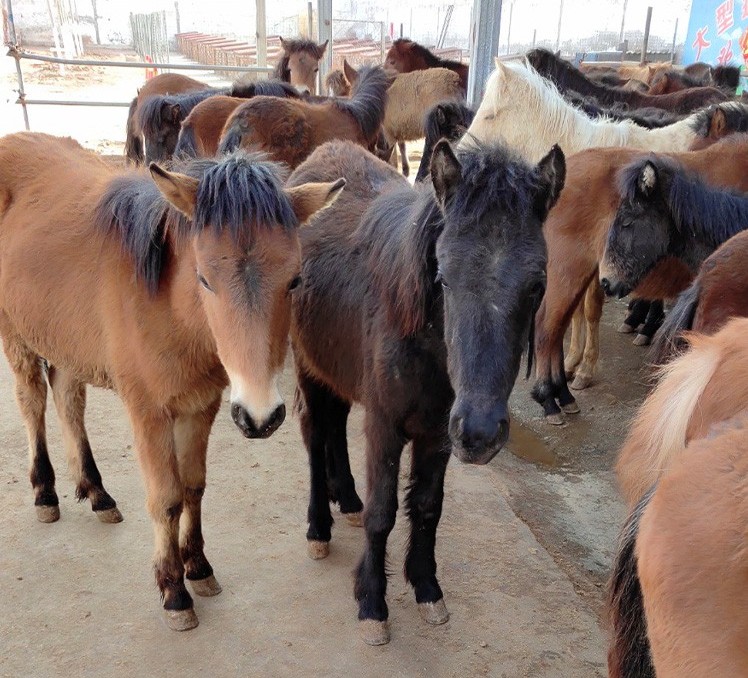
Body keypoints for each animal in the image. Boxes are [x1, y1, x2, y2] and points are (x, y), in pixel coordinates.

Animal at [0, 131, 344, 632]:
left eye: (295, 280)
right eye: (204, 279)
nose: (261, 416)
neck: (164, 304)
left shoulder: (203, 404)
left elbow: (193, 487)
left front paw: (197, 567)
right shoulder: (149, 412)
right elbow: (165, 498)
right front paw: (173, 590)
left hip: (65, 341)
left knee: (68, 399)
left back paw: (97, 492)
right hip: (17, 335)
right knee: (33, 401)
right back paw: (44, 492)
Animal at [286, 138, 560, 648]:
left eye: (537, 285)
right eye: (444, 277)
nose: (481, 432)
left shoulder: (437, 433)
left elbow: (428, 507)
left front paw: (427, 587)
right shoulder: (385, 426)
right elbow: (383, 513)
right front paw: (372, 603)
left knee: (334, 427)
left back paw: (345, 499)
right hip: (309, 369)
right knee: (315, 435)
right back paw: (319, 527)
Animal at [532, 130, 748, 422]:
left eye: (625, 222)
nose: (607, 280)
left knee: (558, 328)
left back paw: (563, 394)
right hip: (567, 272)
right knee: (548, 327)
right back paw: (549, 400)